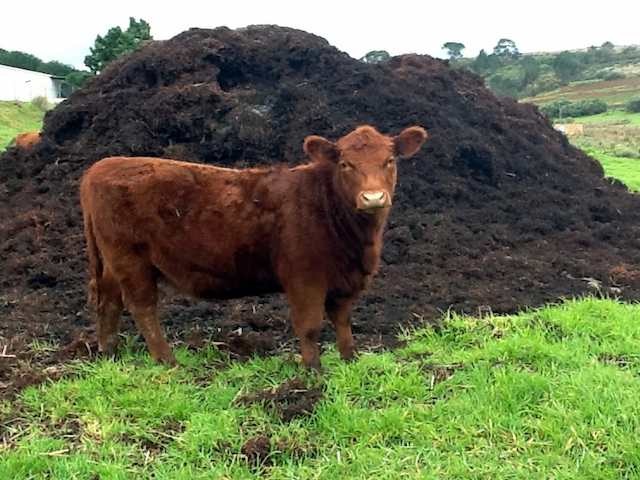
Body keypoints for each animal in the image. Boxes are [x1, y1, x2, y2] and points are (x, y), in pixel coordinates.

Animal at [80, 125, 428, 369]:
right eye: (345, 164)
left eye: (389, 161)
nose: (373, 198)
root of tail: (101, 166)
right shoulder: (304, 277)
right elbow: (310, 325)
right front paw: (313, 371)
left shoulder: (344, 280)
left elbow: (342, 320)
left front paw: (350, 360)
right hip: (131, 259)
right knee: (142, 307)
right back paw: (168, 362)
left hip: (113, 262)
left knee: (109, 300)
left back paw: (109, 353)